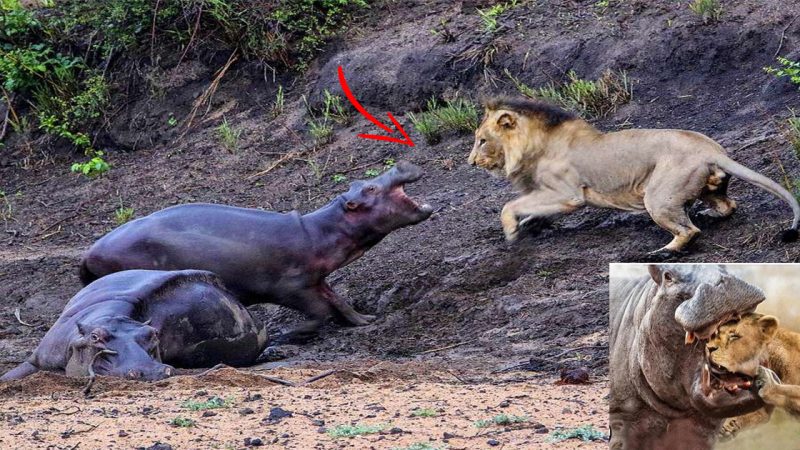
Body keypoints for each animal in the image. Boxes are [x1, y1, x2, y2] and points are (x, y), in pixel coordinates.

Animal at [79, 160, 434, 340]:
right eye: (370, 187)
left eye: (361, 182)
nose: (401, 165)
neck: (320, 229)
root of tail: (88, 252)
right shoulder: (292, 285)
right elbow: (319, 312)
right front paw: (287, 333)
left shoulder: (316, 279)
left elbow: (338, 300)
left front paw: (365, 319)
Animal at [468, 96, 800, 255]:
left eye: (482, 140)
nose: (470, 162)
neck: (533, 145)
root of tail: (713, 151)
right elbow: (530, 209)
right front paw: (530, 225)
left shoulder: (567, 194)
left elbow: (509, 205)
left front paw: (512, 232)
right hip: (707, 188)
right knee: (728, 206)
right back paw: (709, 214)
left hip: (658, 196)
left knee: (689, 232)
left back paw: (660, 254)